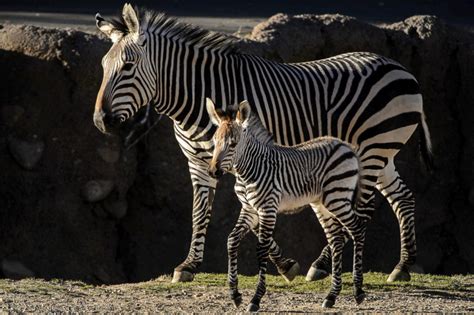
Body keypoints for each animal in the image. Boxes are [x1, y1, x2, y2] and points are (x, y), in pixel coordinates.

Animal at [93, 3, 434, 284]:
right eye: (103, 67)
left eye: (128, 67)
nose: (100, 121)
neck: (199, 98)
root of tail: (401, 69)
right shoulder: (200, 163)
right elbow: (199, 212)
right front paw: (188, 266)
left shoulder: (252, 160)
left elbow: (257, 219)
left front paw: (286, 265)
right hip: (380, 152)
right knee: (402, 197)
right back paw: (402, 267)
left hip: (372, 149)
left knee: (361, 209)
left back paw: (323, 264)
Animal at [207, 99, 370, 312]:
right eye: (214, 142)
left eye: (233, 144)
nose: (213, 172)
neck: (247, 171)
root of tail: (345, 145)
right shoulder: (249, 209)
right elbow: (232, 240)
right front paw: (235, 295)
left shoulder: (267, 209)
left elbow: (262, 248)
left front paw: (256, 299)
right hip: (322, 204)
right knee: (335, 239)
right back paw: (332, 296)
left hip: (338, 197)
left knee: (357, 230)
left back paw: (358, 291)